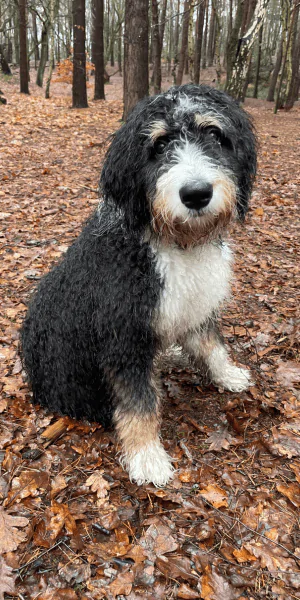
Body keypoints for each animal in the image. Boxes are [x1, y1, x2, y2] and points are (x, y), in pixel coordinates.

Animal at [21, 84, 256, 488]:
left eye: (214, 134)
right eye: (159, 145)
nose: (197, 193)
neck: (175, 240)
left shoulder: (194, 304)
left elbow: (211, 345)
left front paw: (227, 374)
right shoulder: (124, 339)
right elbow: (138, 403)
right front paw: (147, 456)